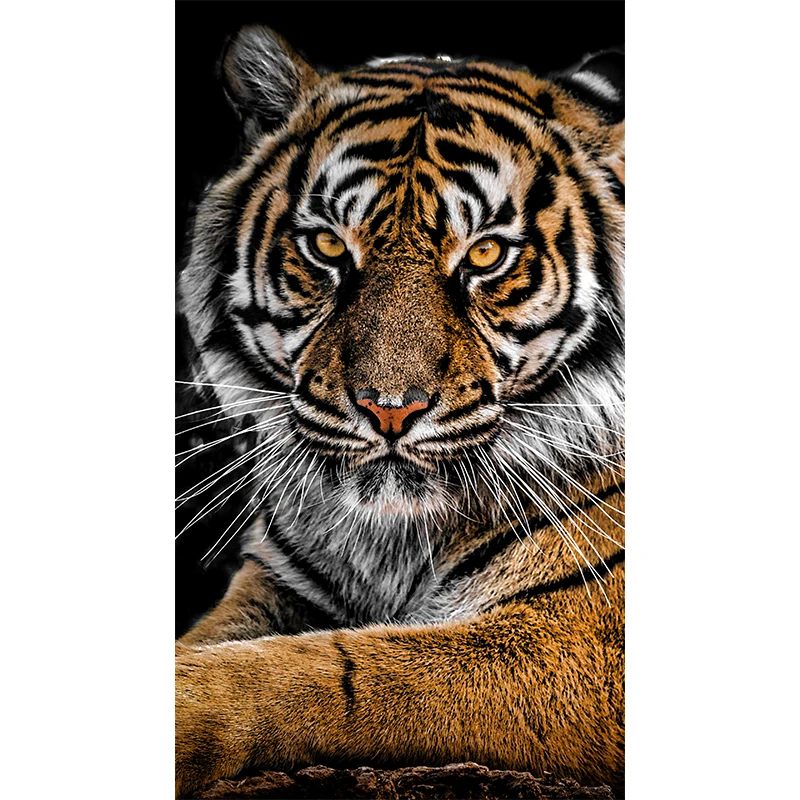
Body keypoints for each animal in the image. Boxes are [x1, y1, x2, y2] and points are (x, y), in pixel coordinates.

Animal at [176, 24, 625, 799]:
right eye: (327, 245)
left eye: (486, 254)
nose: (390, 410)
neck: (392, 542)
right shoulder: (278, 581)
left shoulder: (579, 643)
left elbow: (329, 671)